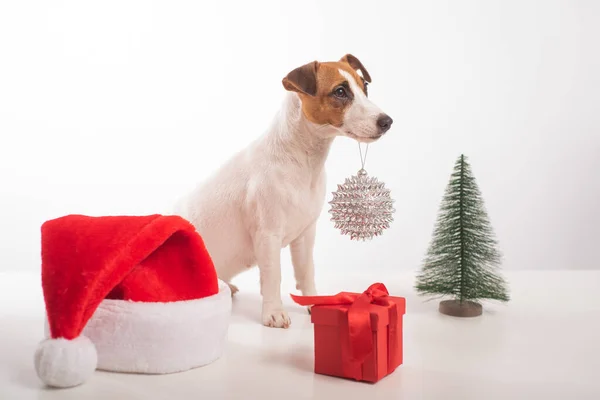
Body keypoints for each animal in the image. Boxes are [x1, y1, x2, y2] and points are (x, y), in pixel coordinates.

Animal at [177, 53, 394, 328]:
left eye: (364, 87)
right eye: (340, 91)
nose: (387, 121)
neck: (301, 160)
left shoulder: (306, 233)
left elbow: (306, 270)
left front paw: (314, 302)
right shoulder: (268, 235)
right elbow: (273, 276)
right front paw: (274, 312)